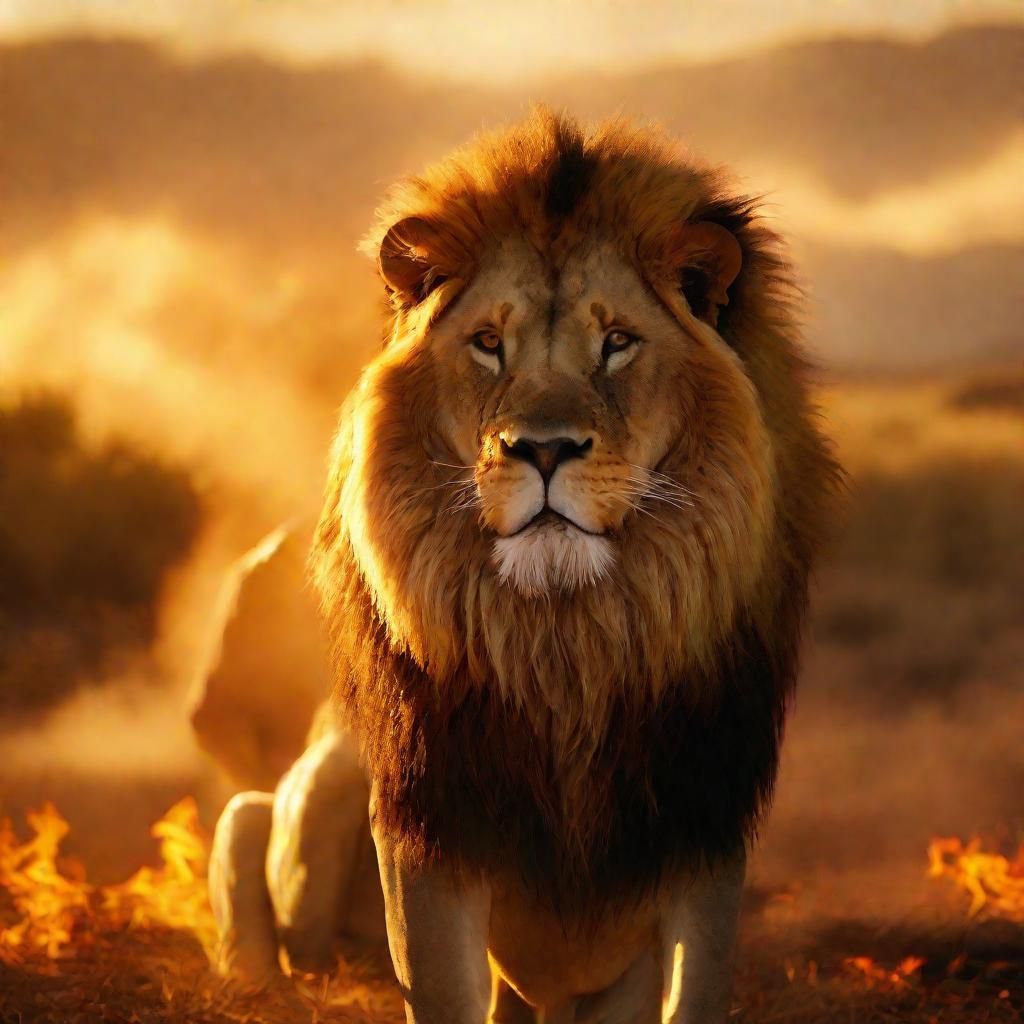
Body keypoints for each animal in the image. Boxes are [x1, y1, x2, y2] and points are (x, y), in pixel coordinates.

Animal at [213, 111, 840, 1021]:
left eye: (617, 343)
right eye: (487, 345)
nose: (542, 449)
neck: (567, 648)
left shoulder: (700, 833)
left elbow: (690, 991)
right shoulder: (428, 831)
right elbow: (440, 987)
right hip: (290, 801)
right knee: (255, 849)